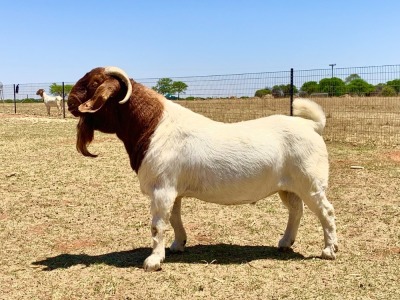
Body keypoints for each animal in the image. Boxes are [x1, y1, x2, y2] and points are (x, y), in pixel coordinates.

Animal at [68, 66, 338, 272]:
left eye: (93, 83)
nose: (70, 102)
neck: (154, 126)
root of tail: (312, 126)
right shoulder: (172, 190)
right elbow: (174, 218)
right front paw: (178, 245)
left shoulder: (161, 189)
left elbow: (158, 224)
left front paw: (153, 260)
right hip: (288, 186)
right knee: (296, 210)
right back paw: (285, 242)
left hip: (310, 182)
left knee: (326, 211)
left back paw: (329, 249)